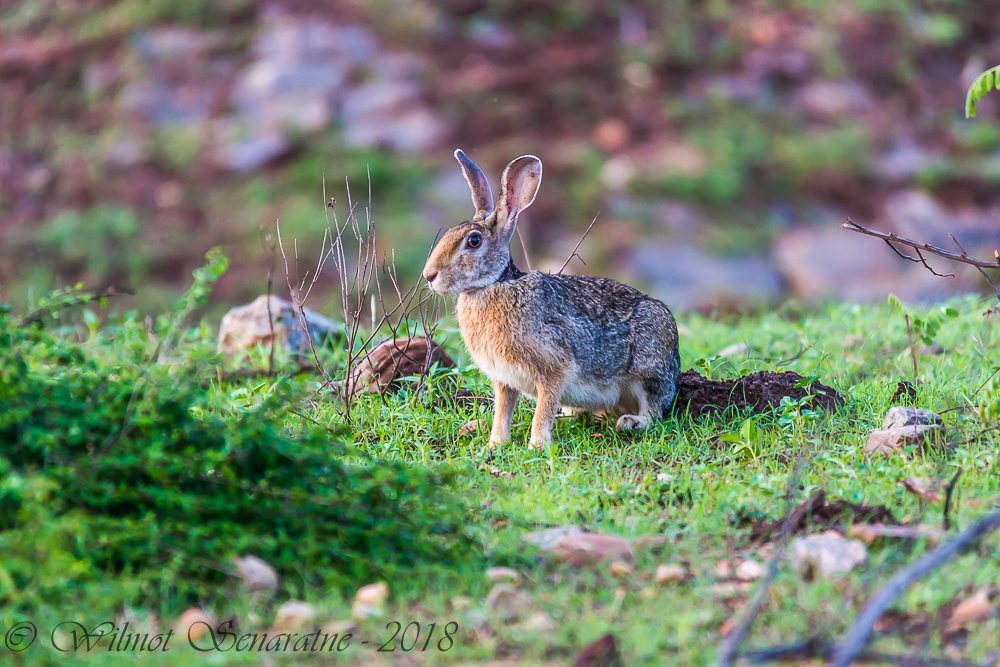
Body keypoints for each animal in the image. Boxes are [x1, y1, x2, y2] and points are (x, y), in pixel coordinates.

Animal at [423, 149, 680, 449]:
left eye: (473, 241)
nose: (429, 275)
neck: (495, 284)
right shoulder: (504, 379)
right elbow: (503, 411)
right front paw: (496, 444)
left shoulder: (553, 370)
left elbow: (543, 409)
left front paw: (537, 445)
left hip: (648, 371)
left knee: (653, 411)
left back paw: (630, 422)